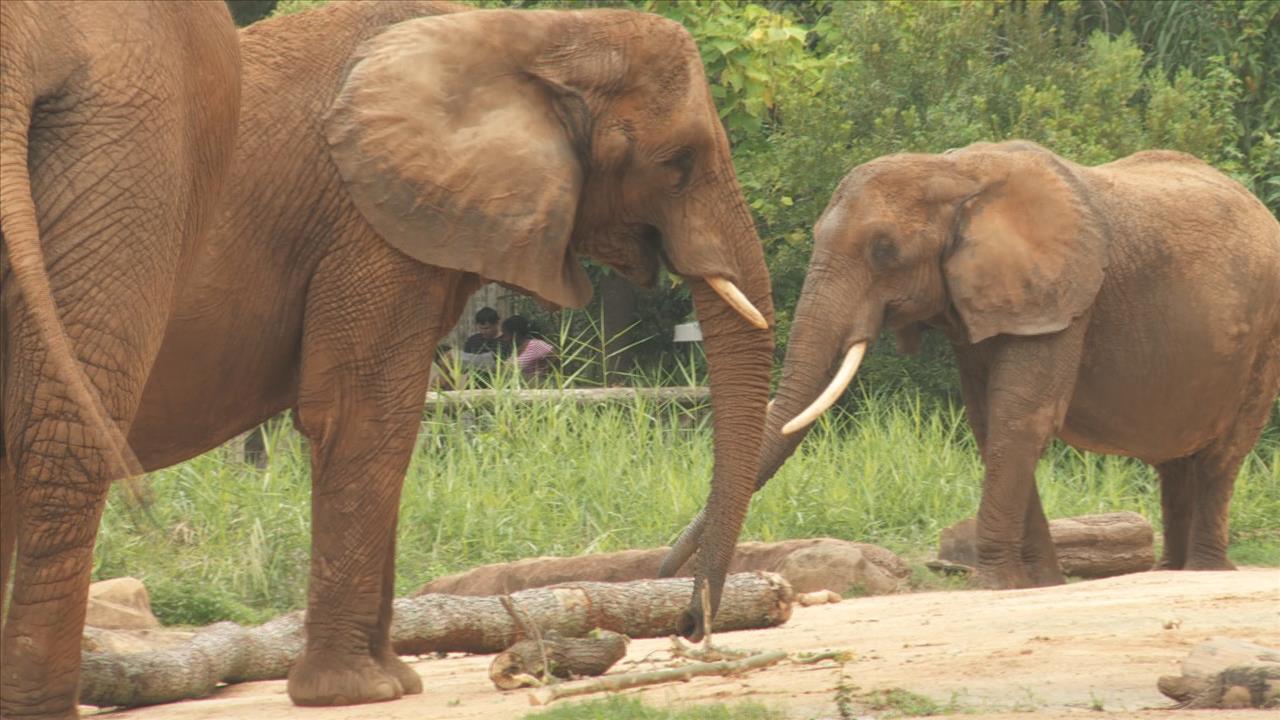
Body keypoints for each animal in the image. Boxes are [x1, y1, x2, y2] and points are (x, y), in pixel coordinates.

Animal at [37, 0, 768, 707]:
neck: (534, 33)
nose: (689, 625)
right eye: (679, 162)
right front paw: (358, 692)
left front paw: (395, 682)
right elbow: (362, 418)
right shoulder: (366, 223)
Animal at [665, 139, 1280, 589]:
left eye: (884, 250)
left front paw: (994, 584)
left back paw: (1205, 570)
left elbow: (1021, 417)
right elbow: (989, 424)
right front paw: (1037, 585)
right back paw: (1170, 570)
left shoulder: (1061, 300)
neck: (956, 173)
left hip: (1264, 336)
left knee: (1222, 455)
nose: (666, 570)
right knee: (1177, 462)